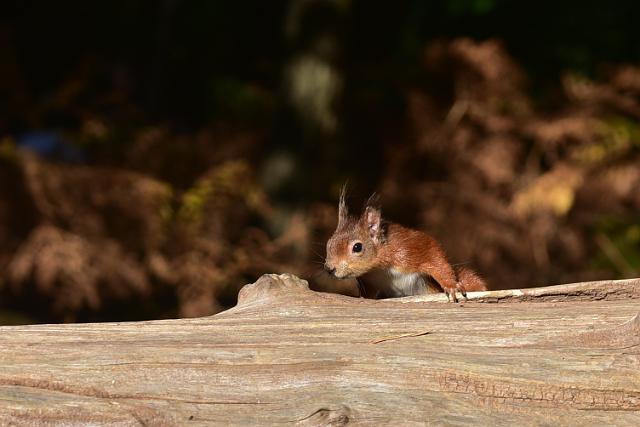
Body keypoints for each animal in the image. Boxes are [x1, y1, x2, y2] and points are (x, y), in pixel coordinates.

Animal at [324, 187, 487, 302]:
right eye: (329, 243)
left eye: (357, 247)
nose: (329, 269)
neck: (379, 268)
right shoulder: (369, 280)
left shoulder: (408, 248)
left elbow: (436, 260)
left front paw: (451, 285)